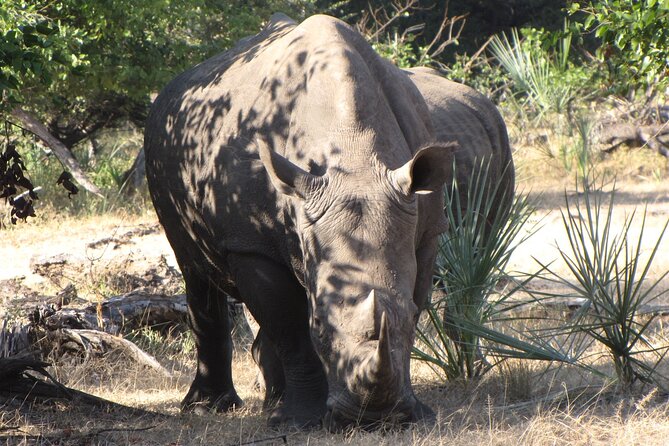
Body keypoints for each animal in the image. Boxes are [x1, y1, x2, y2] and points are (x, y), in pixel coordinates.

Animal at [144, 13, 512, 429]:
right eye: (319, 323)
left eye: (408, 316)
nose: (374, 418)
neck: (353, 153)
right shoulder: (250, 242)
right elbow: (289, 326)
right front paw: (300, 421)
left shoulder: (426, 230)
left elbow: (414, 298)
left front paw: (416, 413)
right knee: (193, 269)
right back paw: (211, 408)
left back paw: (271, 402)